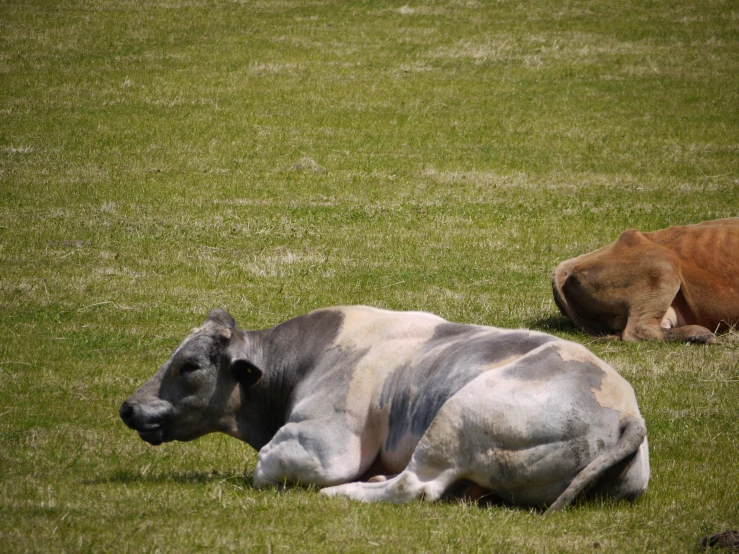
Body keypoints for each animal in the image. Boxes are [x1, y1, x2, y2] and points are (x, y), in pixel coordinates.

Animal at [118, 306, 652, 508]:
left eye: (189, 365)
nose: (128, 407)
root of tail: (627, 412)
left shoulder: (322, 446)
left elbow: (265, 467)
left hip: (458, 415)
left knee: (413, 486)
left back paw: (348, 491)